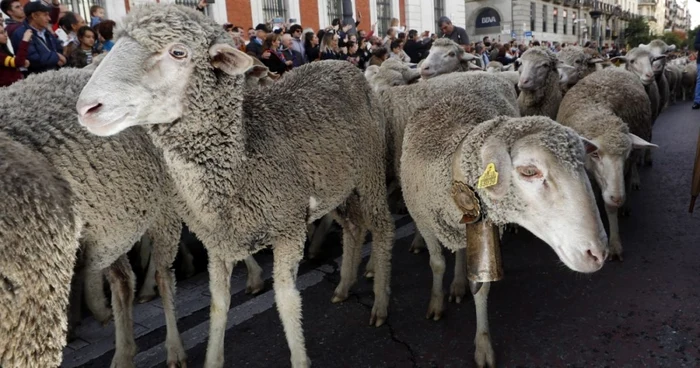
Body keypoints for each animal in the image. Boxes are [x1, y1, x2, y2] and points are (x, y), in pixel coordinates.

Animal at [0, 67, 190, 366]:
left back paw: (174, 349)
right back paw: (123, 352)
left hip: (165, 207)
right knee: (123, 281)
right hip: (113, 224)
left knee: (164, 276)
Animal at [74, 4, 396, 366]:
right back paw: (343, 286)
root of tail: (342, 64)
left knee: (381, 225)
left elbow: (286, 300)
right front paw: (213, 357)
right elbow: (218, 305)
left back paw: (380, 302)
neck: (241, 161)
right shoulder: (219, 243)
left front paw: (299, 357)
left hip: (369, 169)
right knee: (354, 227)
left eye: (178, 52)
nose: (87, 108)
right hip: (336, 186)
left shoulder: (288, 229)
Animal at [556, 67, 660, 262]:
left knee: (630, 174)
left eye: (626, 154)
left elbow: (610, 208)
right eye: (595, 154)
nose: (618, 198)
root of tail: (614, 67)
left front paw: (615, 245)